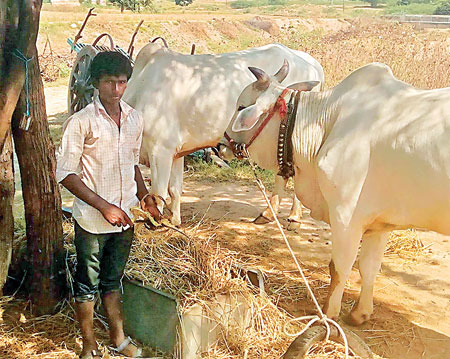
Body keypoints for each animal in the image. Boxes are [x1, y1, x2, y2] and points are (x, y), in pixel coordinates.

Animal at [121, 43, 322, 226]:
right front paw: (175, 220)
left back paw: (279, 214)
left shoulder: (160, 150)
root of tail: (312, 63)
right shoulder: (176, 153)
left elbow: (158, 193)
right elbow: (174, 189)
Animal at [227, 63, 450, 328]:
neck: (328, 122)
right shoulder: (379, 223)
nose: (221, 143)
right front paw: (360, 313)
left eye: (241, 106)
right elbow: (369, 267)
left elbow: (339, 268)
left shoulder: (346, 216)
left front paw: (327, 314)